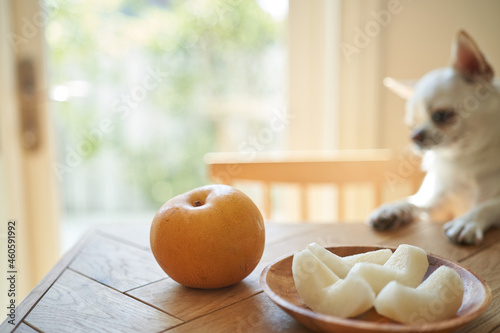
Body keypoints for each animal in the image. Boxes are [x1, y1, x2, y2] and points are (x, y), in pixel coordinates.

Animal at [368, 30, 500, 244]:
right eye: (411, 125)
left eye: (441, 115)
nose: (414, 136)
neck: (468, 159)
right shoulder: (436, 206)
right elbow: (415, 202)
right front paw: (394, 208)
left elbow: (489, 205)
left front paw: (468, 221)